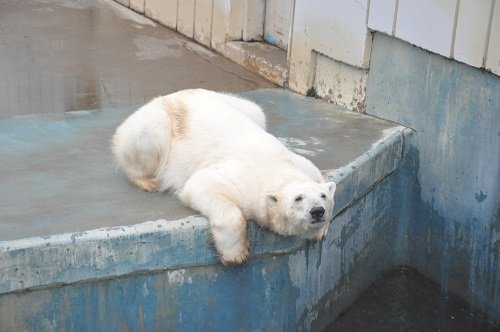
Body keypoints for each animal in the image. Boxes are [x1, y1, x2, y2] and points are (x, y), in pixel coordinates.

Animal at [111, 89, 334, 266]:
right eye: (298, 198)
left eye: (323, 196)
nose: (317, 211)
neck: (278, 166)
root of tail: (168, 96)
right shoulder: (244, 178)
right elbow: (203, 184)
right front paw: (236, 254)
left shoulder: (302, 164)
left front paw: (320, 232)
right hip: (158, 124)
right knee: (145, 135)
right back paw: (148, 181)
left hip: (243, 106)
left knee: (257, 110)